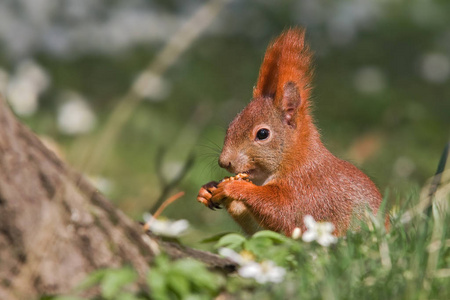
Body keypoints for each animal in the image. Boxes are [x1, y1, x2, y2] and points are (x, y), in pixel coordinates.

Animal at [195, 27, 382, 237]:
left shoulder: (309, 191)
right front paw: (207, 189)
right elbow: (257, 227)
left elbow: (285, 214)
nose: (224, 162)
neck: (294, 159)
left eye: (262, 134)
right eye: (230, 126)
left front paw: (235, 187)